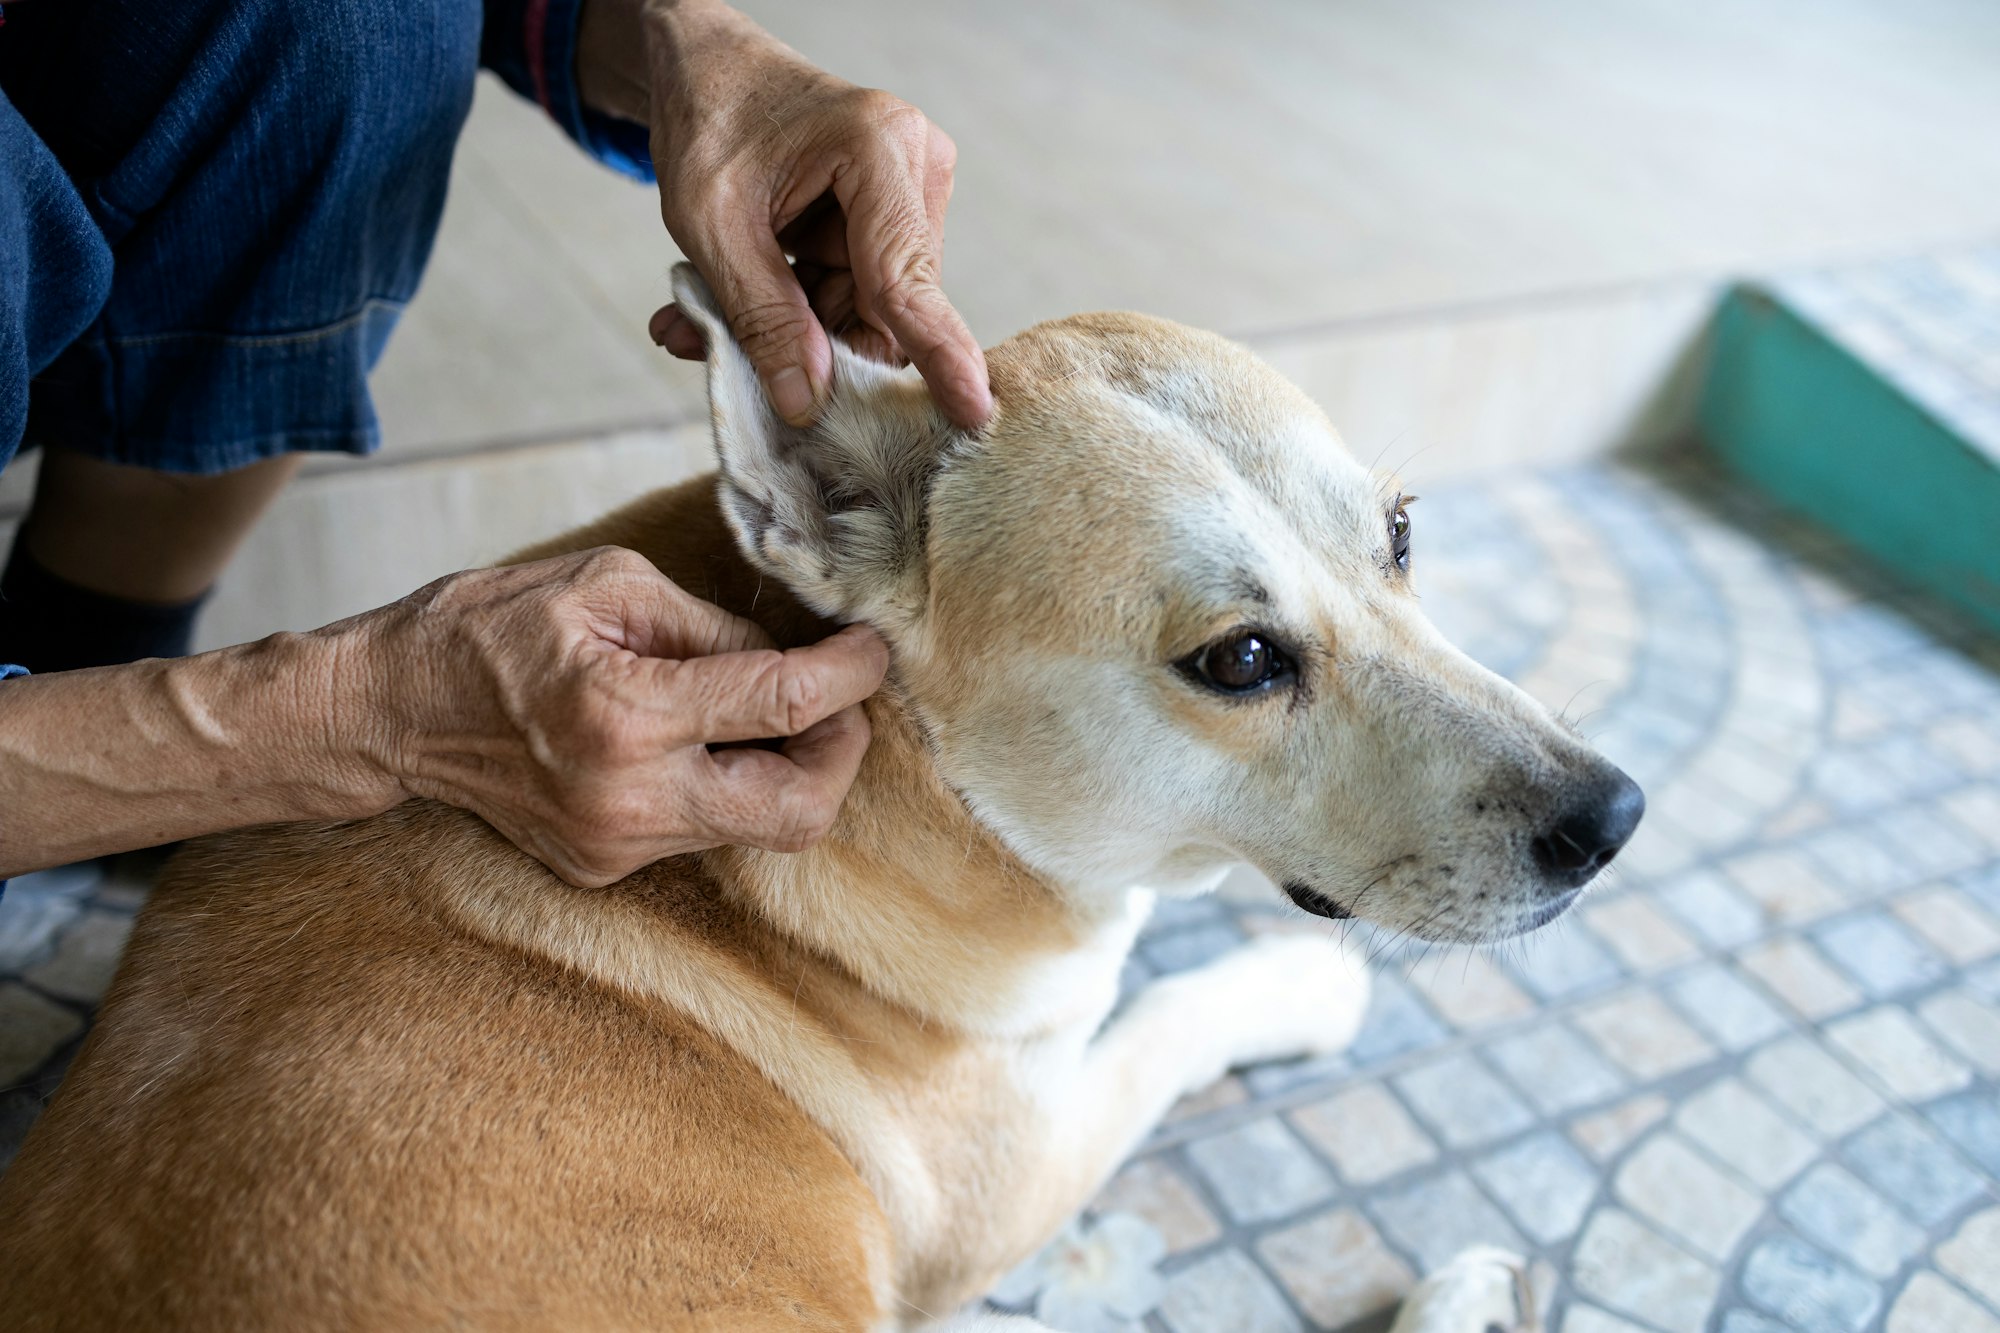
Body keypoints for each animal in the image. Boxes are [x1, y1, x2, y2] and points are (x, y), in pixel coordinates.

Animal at [0, 270, 1640, 1328]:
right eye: (1238, 660)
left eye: (1403, 535)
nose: (1612, 819)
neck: (933, 796)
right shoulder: (1019, 1168)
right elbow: (1176, 1010)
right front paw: (1300, 982)